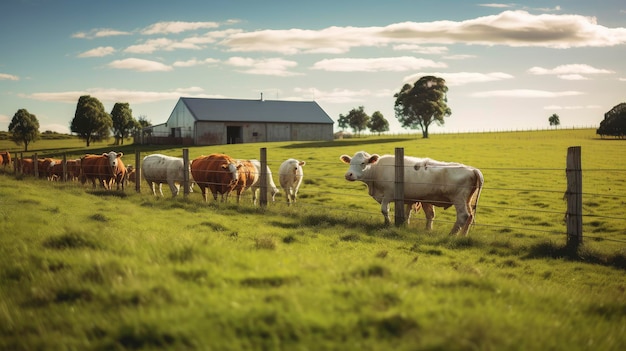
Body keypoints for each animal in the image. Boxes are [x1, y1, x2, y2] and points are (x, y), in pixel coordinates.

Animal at [342, 151, 482, 236]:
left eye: (363, 163)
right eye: (350, 162)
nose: (349, 175)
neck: (377, 170)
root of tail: (472, 169)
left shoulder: (388, 195)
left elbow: (384, 210)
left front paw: (388, 224)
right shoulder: (409, 198)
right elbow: (408, 213)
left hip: (459, 199)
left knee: (463, 216)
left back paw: (451, 235)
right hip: (466, 200)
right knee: (470, 216)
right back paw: (463, 235)